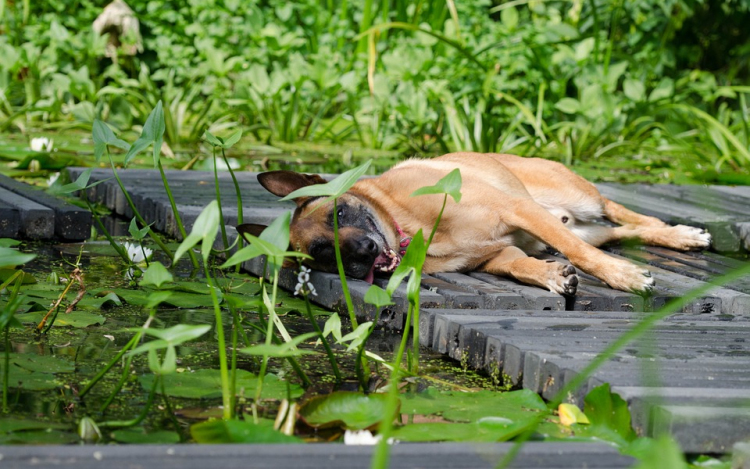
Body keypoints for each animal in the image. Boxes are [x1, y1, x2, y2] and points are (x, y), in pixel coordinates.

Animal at [239, 152, 712, 294]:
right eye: (321, 253)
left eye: (338, 214)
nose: (362, 254)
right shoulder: (494, 255)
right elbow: (518, 264)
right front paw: (550, 275)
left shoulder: (517, 210)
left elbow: (581, 255)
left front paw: (623, 277)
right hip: (582, 224)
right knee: (620, 231)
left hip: (580, 199)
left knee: (621, 213)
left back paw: (681, 233)